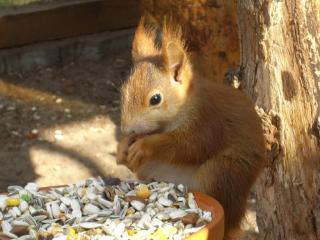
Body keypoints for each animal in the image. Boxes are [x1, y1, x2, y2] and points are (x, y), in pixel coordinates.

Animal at [116, 17, 266, 238]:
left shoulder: (207, 121)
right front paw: (122, 148)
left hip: (220, 173)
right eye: (123, 91)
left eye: (155, 99)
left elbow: (190, 147)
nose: (127, 130)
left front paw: (145, 146)